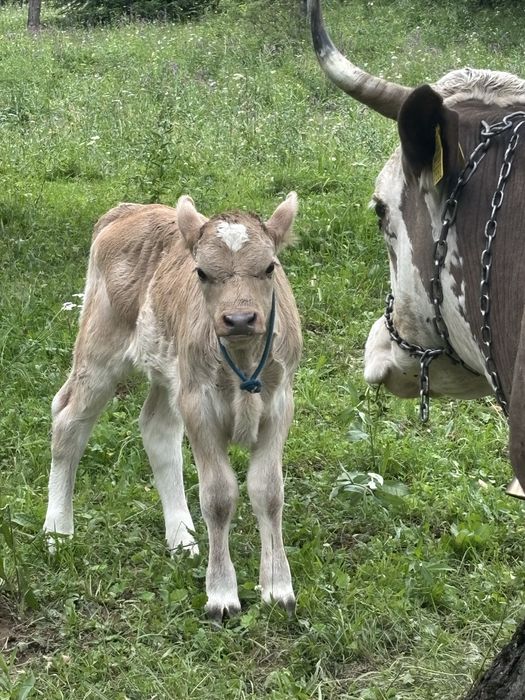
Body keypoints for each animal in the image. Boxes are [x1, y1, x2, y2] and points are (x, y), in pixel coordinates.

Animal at [43, 193, 302, 621]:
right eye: (201, 272)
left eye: (269, 267)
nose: (240, 319)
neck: (243, 357)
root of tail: (129, 210)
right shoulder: (199, 405)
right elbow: (218, 496)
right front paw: (221, 594)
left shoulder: (279, 404)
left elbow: (268, 491)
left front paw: (278, 588)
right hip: (100, 348)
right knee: (68, 421)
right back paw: (58, 532)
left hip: (169, 373)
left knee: (157, 430)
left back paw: (182, 538)